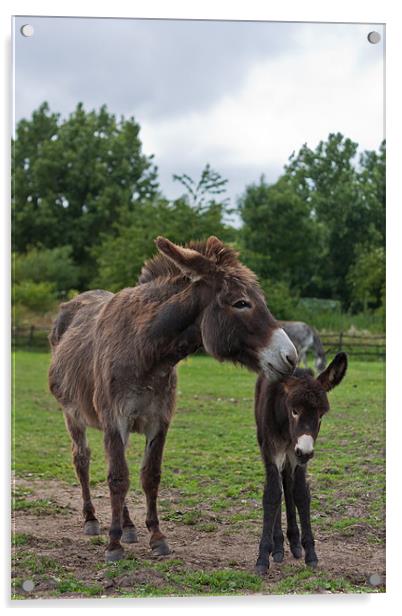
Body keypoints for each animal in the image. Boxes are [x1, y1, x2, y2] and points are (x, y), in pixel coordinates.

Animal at [256, 354, 348, 576]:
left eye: (321, 414)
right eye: (294, 410)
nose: (305, 451)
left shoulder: (298, 458)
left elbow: (300, 494)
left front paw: (310, 553)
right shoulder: (271, 451)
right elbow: (272, 495)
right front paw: (263, 557)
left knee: (287, 486)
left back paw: (293, 543)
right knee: (279, 487)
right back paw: (278, 547)